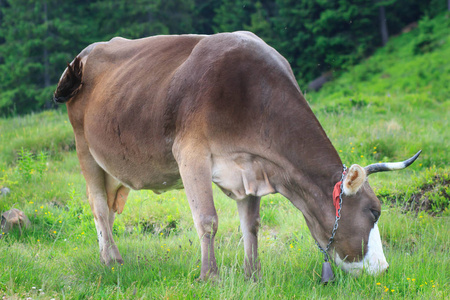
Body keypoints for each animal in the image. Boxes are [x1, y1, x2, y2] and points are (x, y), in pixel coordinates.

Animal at [54, 31, 420, 280]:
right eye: (374, 211)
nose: (383, 268)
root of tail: (87, 53)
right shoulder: (190, 153)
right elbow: (207, 220)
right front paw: (210, 277)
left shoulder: (252, 165)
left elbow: (252, 225)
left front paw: (252, 274)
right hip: (84, 147)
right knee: (99, 206)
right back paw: (112, 261)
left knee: (109, 207)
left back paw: (109, 255)